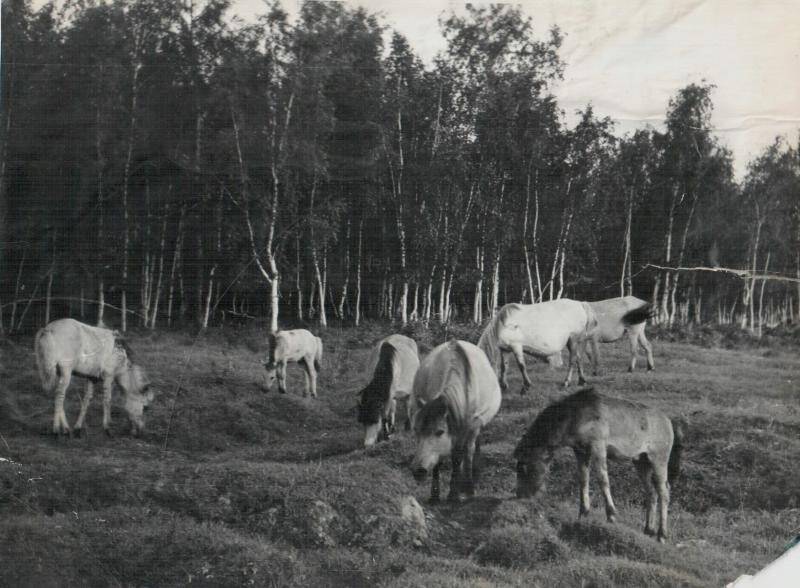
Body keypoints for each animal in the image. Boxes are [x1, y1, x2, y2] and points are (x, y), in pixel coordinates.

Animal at [412, 342, 500, 504]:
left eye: (440, 431)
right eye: (416, 430)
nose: (418, 471)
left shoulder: (469, 427)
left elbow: (459, 456)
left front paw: (457, 493)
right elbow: (439, 459)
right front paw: (435, 495)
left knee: (470, 448)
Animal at [516, 388, 684, 544]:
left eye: (523, 468)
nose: (520, 495)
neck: (576, 415)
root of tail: (669, 422)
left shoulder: (598, 447)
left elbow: (603, 480)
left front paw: (611, 515)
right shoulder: (580, 451)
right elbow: (583, 480)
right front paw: (583, 512)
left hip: (658, 460)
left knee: (663, 492)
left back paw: (661, 534)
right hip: (641, 462)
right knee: (651, 492)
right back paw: (649, 529)